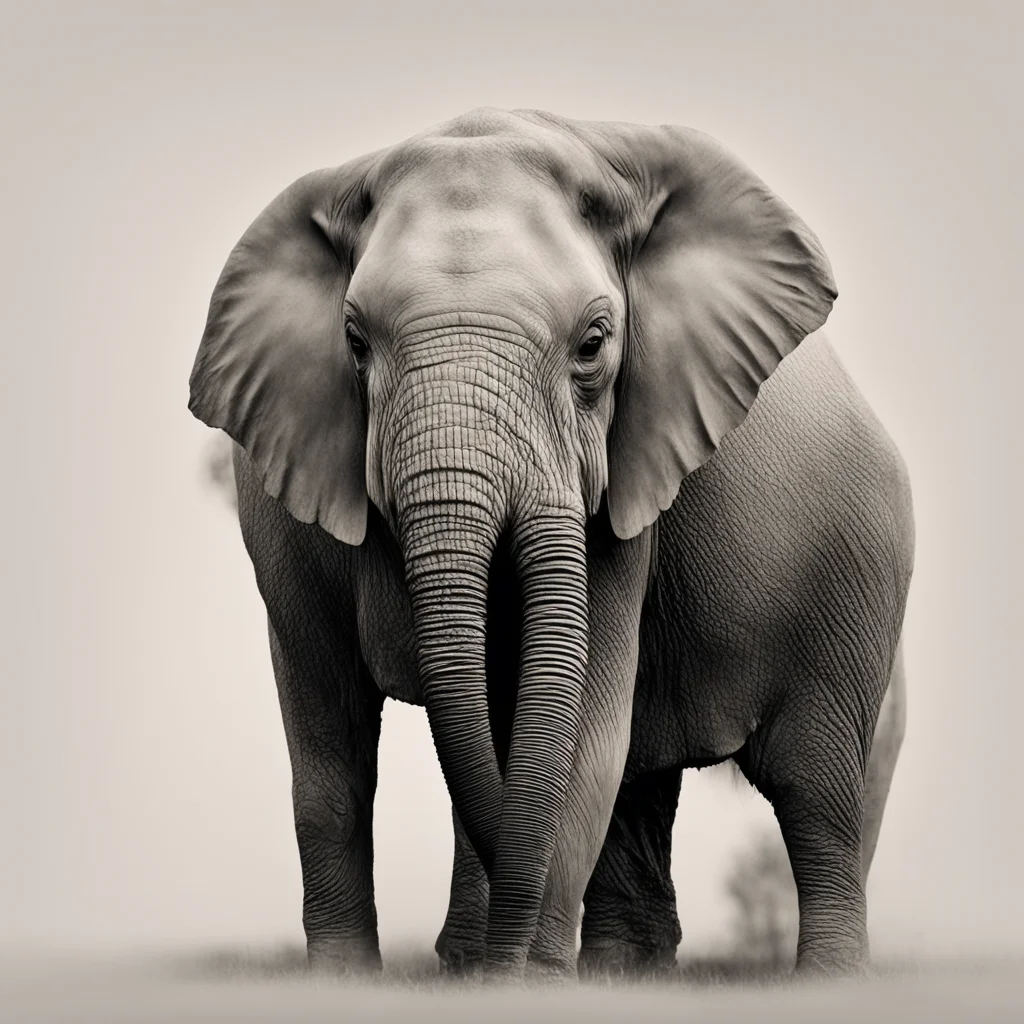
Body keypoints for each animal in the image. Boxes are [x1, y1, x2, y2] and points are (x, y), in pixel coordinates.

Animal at [188, 107, 914, 981]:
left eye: (593, 344)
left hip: (858, 581)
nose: (479, 959)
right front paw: (351, 982)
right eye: (354, 342)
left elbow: (576, 722)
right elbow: (329, 741)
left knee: (818, 786)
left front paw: (517, 983)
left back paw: (821, 980)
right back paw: (620, 975)